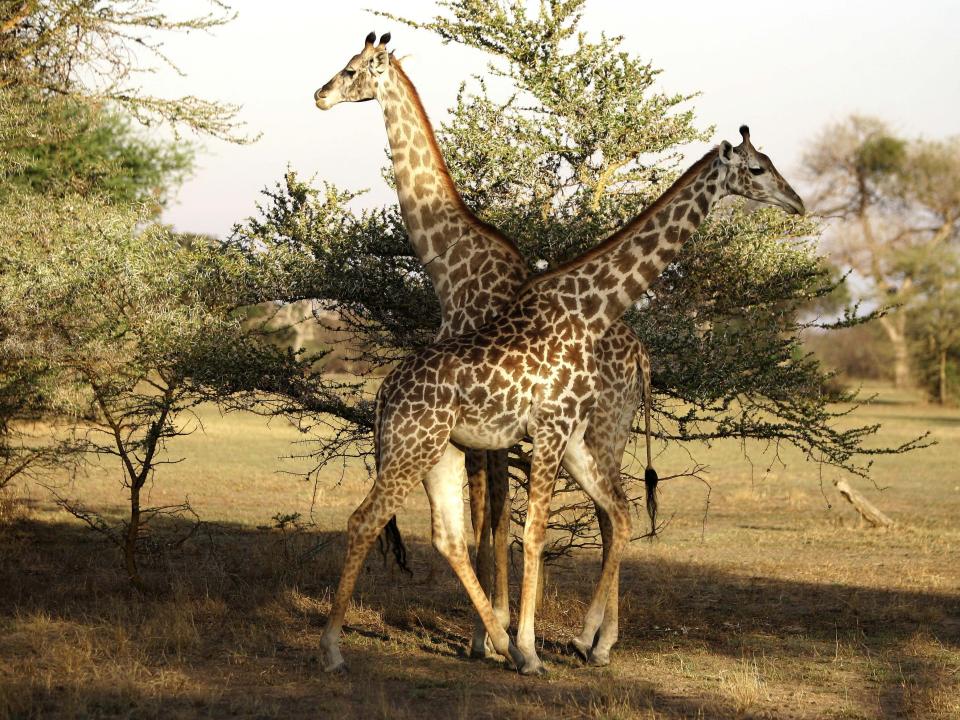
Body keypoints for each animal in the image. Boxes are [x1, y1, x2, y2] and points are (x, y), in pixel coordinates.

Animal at [316, 32, 660, 664]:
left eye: (352, 69)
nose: (319, 94)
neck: (450, 265)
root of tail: (643, 358)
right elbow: (489, 511)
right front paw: (496, 631)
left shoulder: (486, 416)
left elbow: (491, 512)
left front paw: (492, 633)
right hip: (606, 431)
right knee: (610, 513)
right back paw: (601, 638)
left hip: (603, 424)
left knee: (612, 512)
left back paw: (597, 640)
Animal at [316, 97, 804, 676]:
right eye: (757, 168)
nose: (797, 202)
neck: (589, 309)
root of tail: (384, 393)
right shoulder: (550, 430)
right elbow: (530, 531)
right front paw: (533, 647)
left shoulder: (565, 435)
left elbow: (559, 523)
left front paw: (533, 643)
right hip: (414, 449)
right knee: (364, 519)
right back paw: (335, 649)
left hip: (442, 452)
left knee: (451, 534)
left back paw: (516, 642)